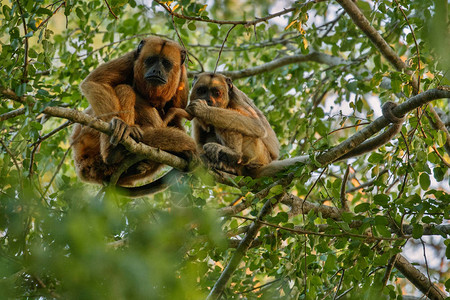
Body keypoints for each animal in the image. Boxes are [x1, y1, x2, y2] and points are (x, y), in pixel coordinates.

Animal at [71, 37, 195, 195]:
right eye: (151, 60)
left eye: (166, 63)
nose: (156, 70)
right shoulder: (130, 59)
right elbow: (95, 82)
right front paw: (118, 124)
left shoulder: (182, 78)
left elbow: (176, 120)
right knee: (125, 89)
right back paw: (115, 149)